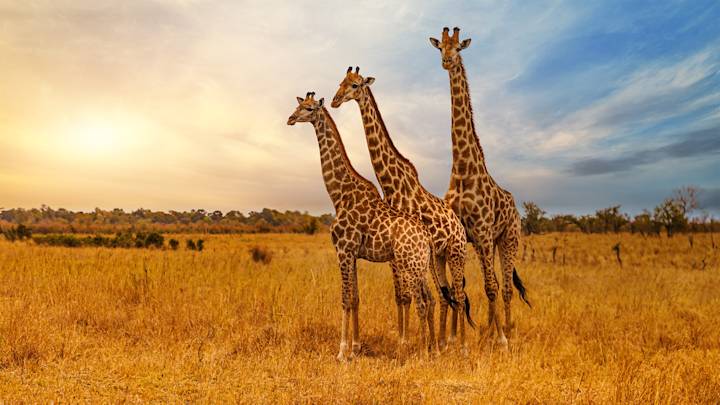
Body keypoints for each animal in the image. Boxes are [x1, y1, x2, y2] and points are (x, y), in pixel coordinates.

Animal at [287, 92, 438, 361]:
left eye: (309, 108)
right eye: (299, 105)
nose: (290, 118)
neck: (339, 195)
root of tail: (426, 236)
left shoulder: (343, 250)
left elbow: (345, 299)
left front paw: (341, 352)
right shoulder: (353, 254)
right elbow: (356, 298)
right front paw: (355, 348)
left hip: (409, 265)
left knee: (421, 302)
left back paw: (421, 353)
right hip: (420, 266)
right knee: (430, 300)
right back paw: (433, 350)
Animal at [331, 66, 474, 353]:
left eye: (355, 85)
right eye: (341, 82)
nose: (335, 100)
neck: (393, 184)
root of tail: (459, 225)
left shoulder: (401, 252)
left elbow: (409, 296)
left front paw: (409, 342)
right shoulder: (394, 254)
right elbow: (401, 296)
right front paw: (406, 340)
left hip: (456, 252)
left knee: (458, 292)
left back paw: (460, 345)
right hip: (439, 256)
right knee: (447, 294)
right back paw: (445, 341)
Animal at [430, 27, 531, 345]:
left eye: (458, 48)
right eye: (440, 48)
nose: (447, 62)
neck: (463, 169)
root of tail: (515, 207)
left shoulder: (484, 233)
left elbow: (489, 287)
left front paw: (500, 339)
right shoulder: (462, 234)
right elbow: (458, 287)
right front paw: (454, 338)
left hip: (508, 239)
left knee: (505, 286)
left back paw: (506, 331)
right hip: (491, 242)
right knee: (497, 283)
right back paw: (488, 330)